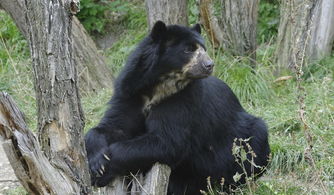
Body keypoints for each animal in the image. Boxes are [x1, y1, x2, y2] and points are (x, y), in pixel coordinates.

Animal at [85, 20, 270, 194]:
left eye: (203, 49)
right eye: (188, 50)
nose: (209, 65)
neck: (160, 84)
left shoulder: (183, 100)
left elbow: (167, 141)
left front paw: (102, 173)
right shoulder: (130, 93)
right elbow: (114, 126)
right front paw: (97, 162)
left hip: (240, 139)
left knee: (254, 147)